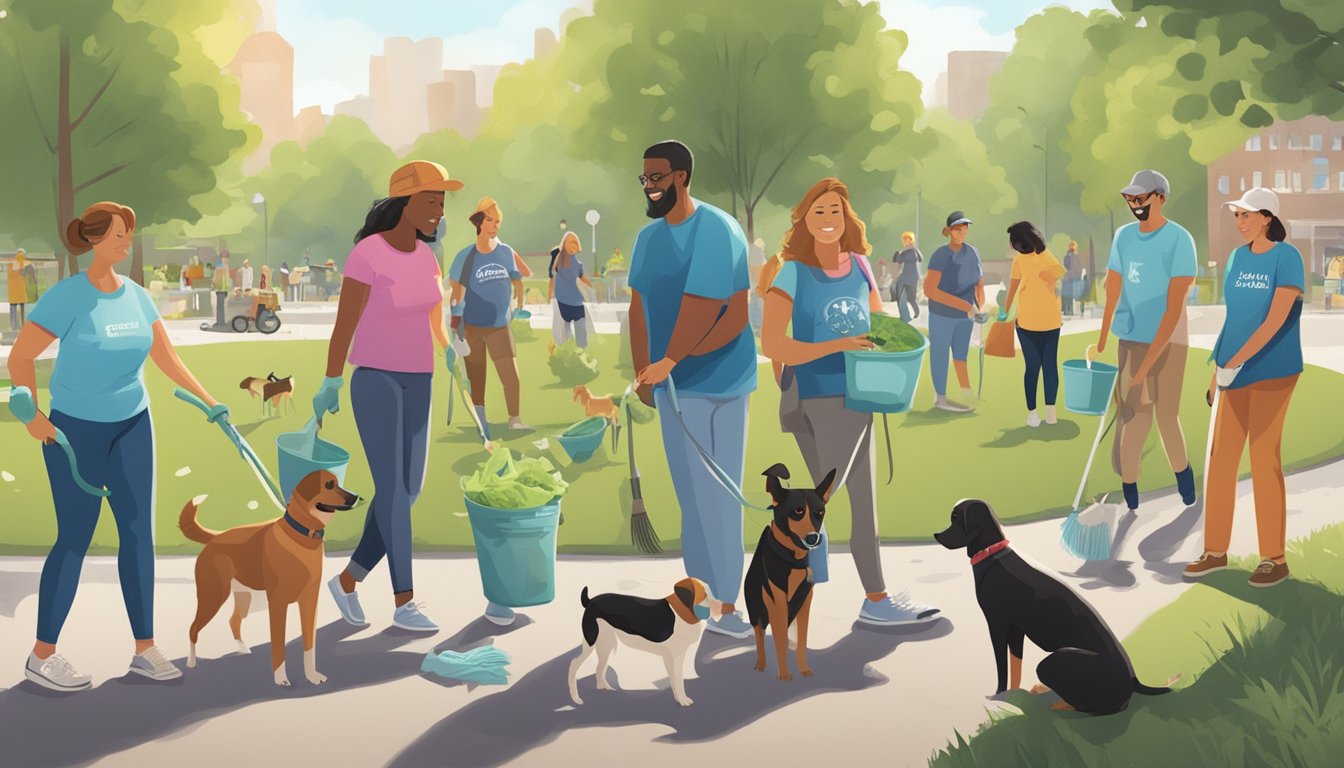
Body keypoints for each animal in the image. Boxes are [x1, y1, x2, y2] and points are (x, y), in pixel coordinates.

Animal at [180, 470, 357, 688]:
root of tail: (216, 537)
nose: (356, 497)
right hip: (212, 597)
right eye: (329, 485)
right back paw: (191, 662)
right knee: (193, 629)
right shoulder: (278, 604)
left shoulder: (309, 602)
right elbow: (279, 646)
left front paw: (312, 676)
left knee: (233, 621)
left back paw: (243, 649)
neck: (300, 535)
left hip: (243, 596)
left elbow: (309, 646)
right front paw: (281, 679)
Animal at [564, 575, 720, 710]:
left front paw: (678, 699)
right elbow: (679, 680)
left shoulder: (670, 658)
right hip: (591, 641)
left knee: (599, 667)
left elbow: (673, 681)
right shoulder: (677, 656)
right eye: (704, 594)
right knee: (573, 664)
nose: (720, 610)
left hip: (606, 644)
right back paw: (576, 699)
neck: (682, 612)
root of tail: (590, 601)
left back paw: (604, 687)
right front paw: (683, 700)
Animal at [747, 465, 827, 683]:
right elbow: (779, 640)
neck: (792, 558)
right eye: (798, 510)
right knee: (759, 635)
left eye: (820, 512)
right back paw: (761, 664)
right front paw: (784, 674)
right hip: (756, 610)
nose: (813, 538)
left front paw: (804, 669)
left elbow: (802, 640)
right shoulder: (777, 601)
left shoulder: (806, 600)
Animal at [935, 497, 1177, 715]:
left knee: (1103, 707)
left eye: (955, 517)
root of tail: (1134, 679)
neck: (992, 554)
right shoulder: (1016, 630)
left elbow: (1002, 668)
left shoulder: (997, 624)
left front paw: (998, 695)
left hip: (1051, 662)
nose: (936, 535)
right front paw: (1013, 694)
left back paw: (1060, 703)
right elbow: (1015, 667)